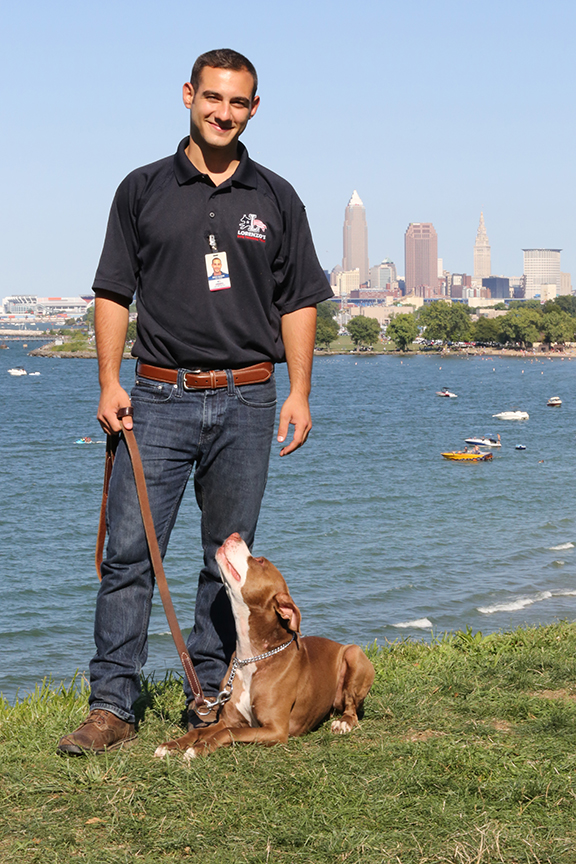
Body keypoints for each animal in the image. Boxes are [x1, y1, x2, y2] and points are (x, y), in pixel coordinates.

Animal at [155, 528, 376, 760]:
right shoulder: (228, 719)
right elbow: (201, 730)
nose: (234, 534)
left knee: (351, 709)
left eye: (260, 561)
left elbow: (228, 732)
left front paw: (198, 748)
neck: (251, 656)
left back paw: (343, 723)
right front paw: (173, 744)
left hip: (354, 653)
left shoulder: (275, 729)